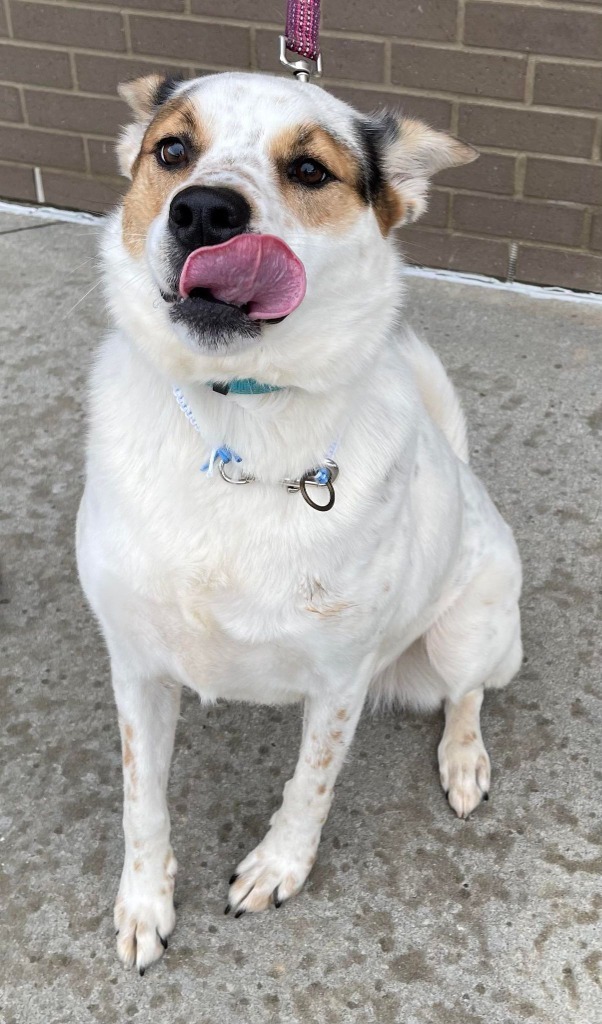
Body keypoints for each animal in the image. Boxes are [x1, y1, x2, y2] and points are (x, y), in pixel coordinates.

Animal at [76, 70, 522, 966]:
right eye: (171, 151)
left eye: (311, 170)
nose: (205, 211)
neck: (239, 421)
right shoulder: (136, 667)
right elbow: (142, 800)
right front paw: (144, 902)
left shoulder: (339, 681)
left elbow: (308, 790)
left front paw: (278, 870)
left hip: (468, 632)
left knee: (469, 694)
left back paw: (463, 761)